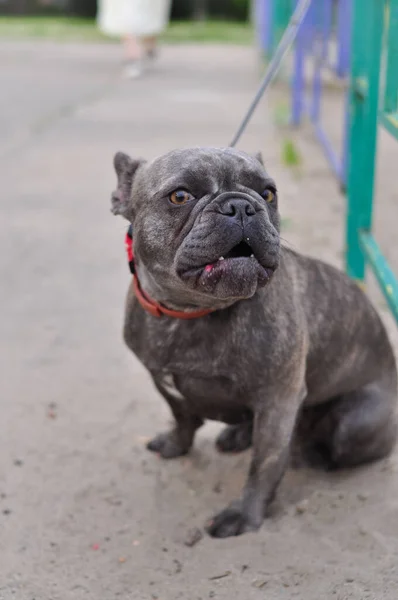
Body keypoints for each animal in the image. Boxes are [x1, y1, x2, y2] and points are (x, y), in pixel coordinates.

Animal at [109, 146, 398, 540]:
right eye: (180, 196)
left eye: (268, 193)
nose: (242, 206)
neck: (192, 313)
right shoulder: (163, 381)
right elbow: (182, 417)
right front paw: (175, 444)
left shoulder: (279, 401)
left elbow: (264, 464)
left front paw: (244, 515)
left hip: (355, 422)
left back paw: (312, 453)